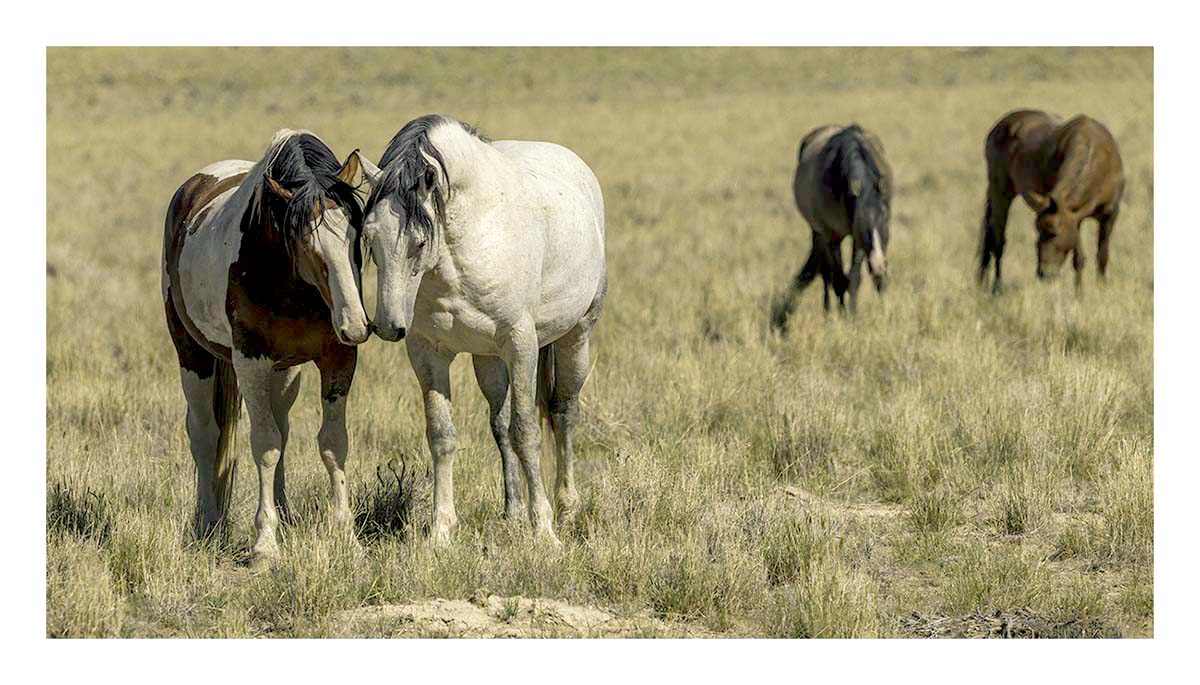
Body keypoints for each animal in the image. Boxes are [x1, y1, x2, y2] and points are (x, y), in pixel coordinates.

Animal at [162, 129, 370, 567]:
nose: (355, 325)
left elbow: (332, 443)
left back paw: (285, 513)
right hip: (192, 355)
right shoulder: (251, 361)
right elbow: (265, 445)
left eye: (355, 235)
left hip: (284, 372)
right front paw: (264, 544)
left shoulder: (339, 357)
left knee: (283, 426)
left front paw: (347, 538)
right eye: (307, 244)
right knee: (204, 433)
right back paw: (208, 523)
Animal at [354, 114, 606, 544]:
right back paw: (513, 512)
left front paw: (544, 530)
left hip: (576, 337)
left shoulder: (521, 345)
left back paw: (567, 508)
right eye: (369, 238)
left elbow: (527, 432)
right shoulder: (428, 353)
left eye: (418, 243)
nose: (388, 327)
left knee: (564, 413)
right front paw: (440, 530)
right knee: (499, 426)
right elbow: (442, 435)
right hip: (486, 359)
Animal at [771, 124, 892, 332]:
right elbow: (838, 280)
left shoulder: (857, 240)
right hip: (820, 234)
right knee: (826, 275)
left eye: (885, 220)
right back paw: (827, 313)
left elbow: (853, 280)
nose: (878, 264)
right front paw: (843, 320)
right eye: (863, 224)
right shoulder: (832, 236)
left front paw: (853, 319)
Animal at [978, 110, 1124, 292]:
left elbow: (1102, 256)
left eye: (1054, 233)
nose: (1044, 274)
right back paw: (997, 288)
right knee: (998, 240)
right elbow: (1078, 259)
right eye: (1038, 231)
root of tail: (999, 126)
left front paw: (1100, 289)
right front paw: (1079, 294)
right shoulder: (1075, 218)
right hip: (1000, 192)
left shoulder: (1109, 214)